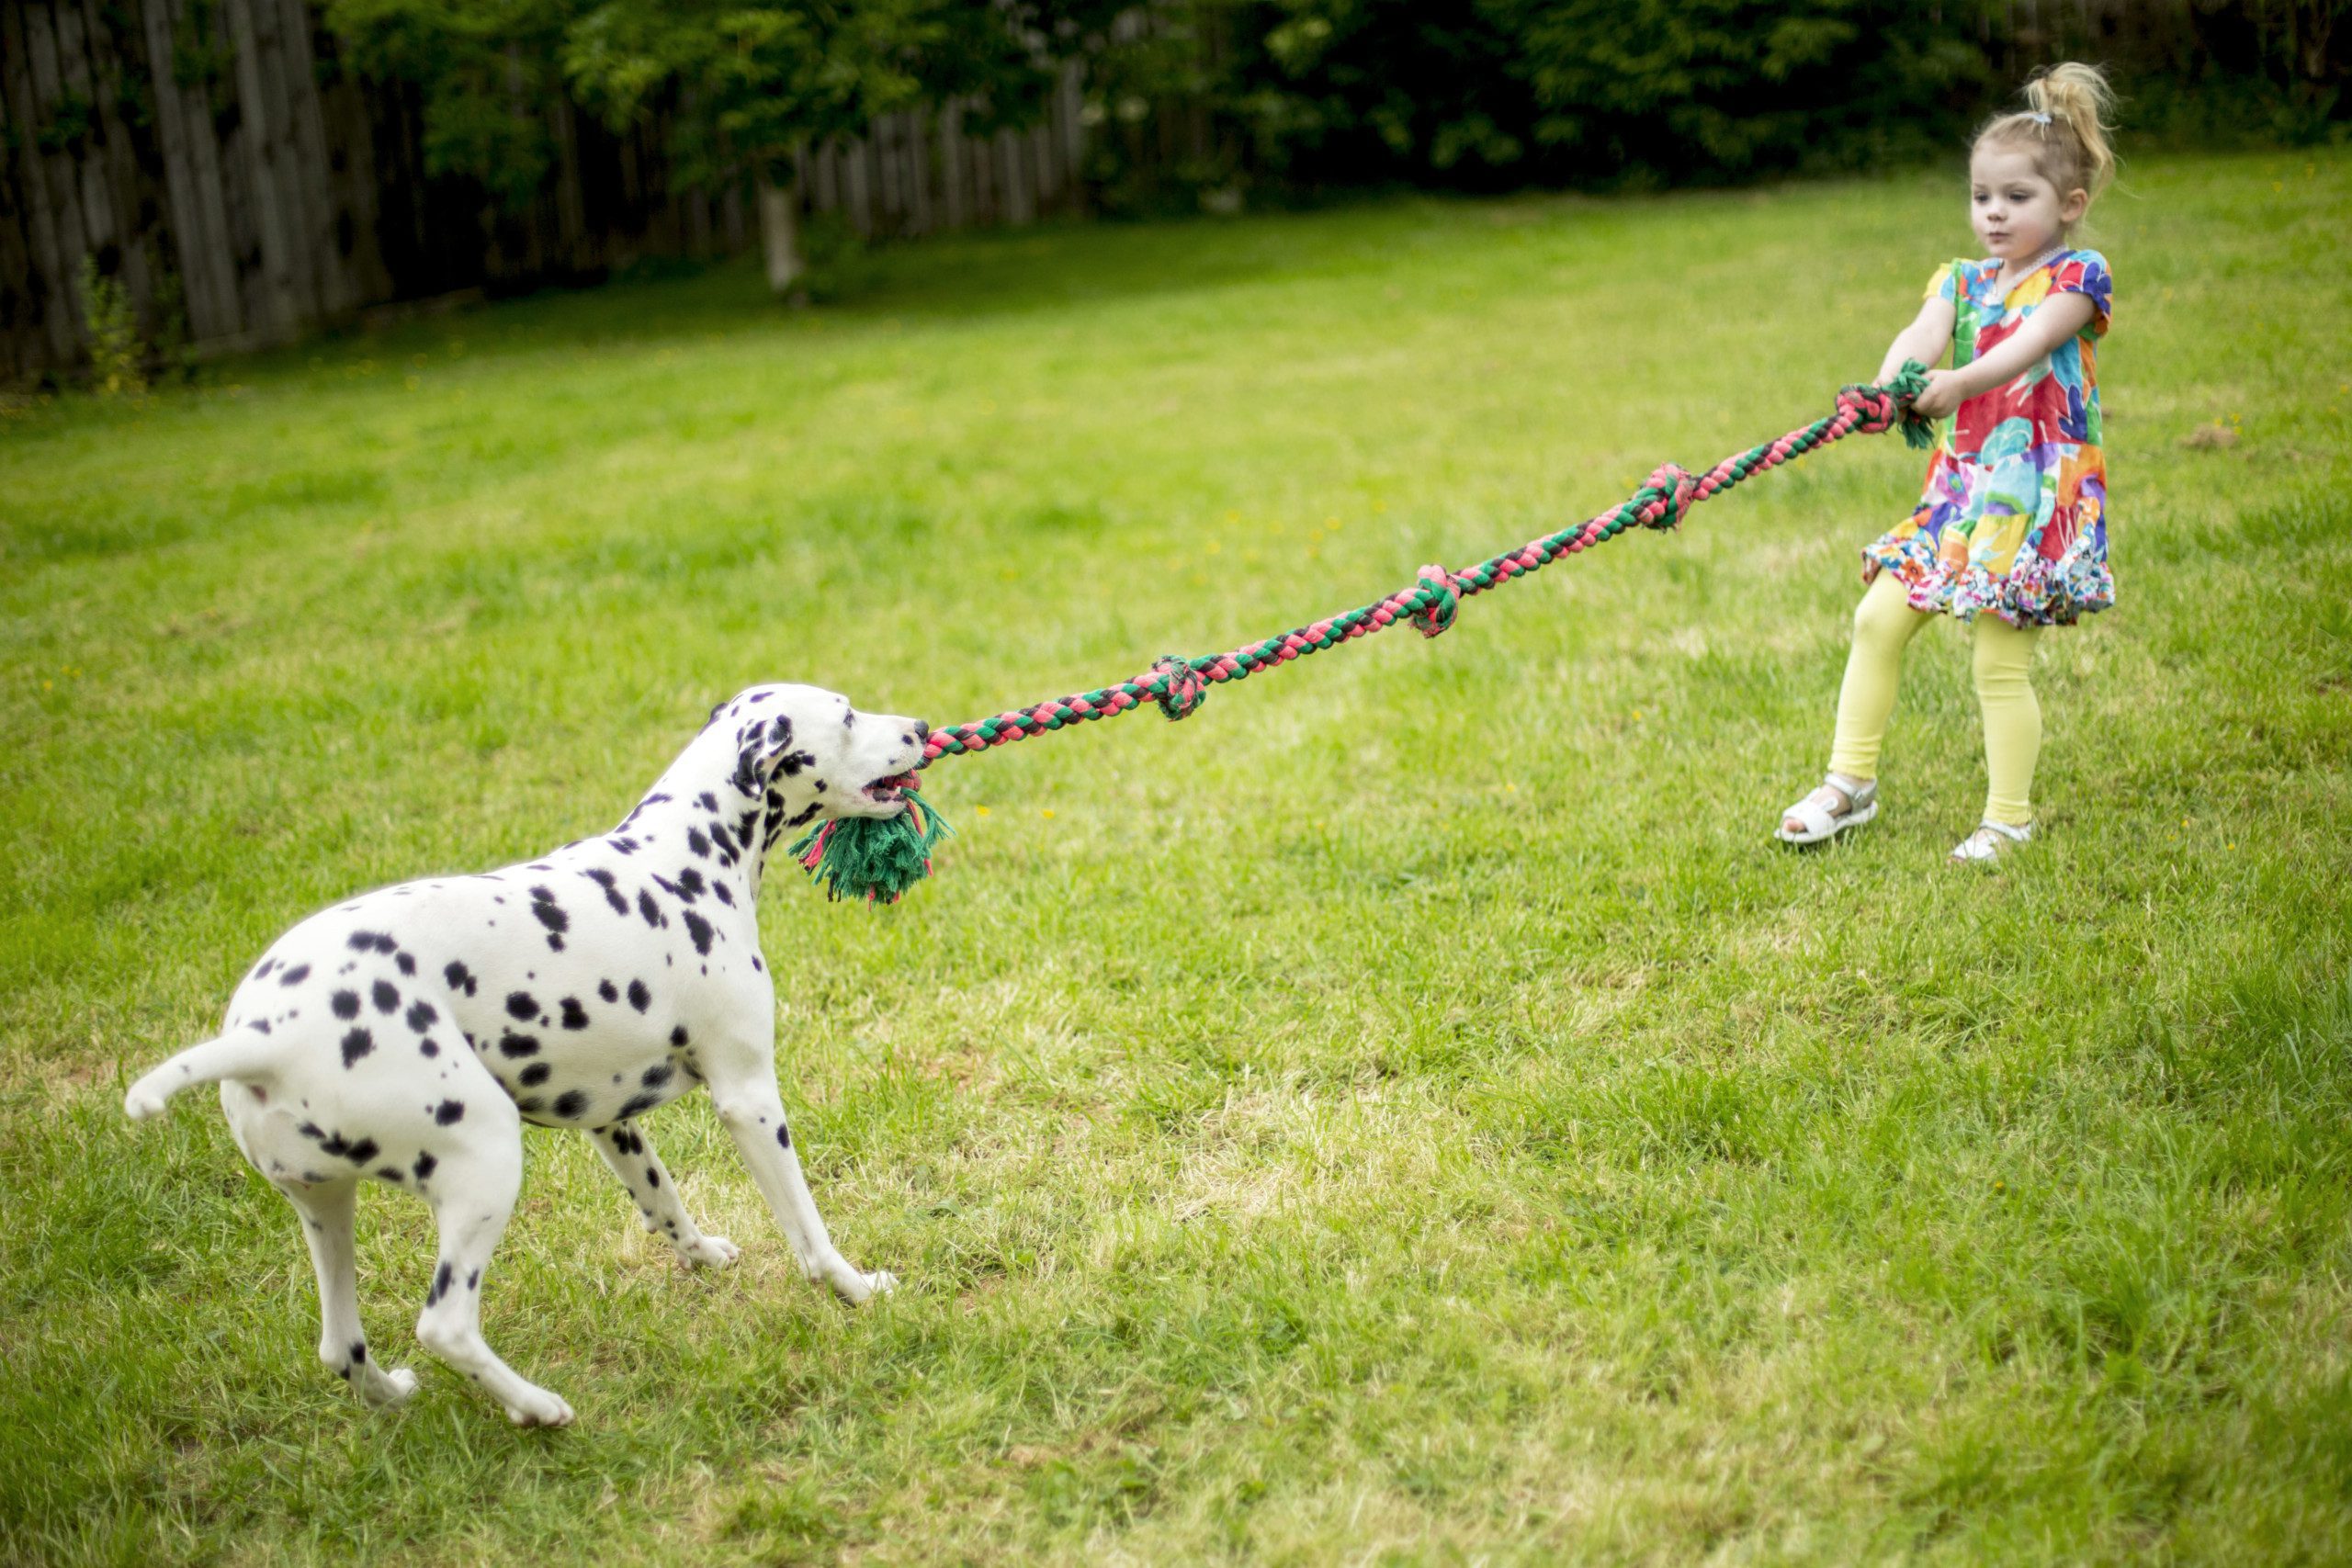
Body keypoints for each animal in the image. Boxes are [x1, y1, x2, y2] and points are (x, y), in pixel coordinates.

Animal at [124, 686, 922, 1419]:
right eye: (847, 715)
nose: (918, 725)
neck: (679, 859)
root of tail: (264, 1035)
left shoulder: (611, 1121)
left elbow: (663, 1202)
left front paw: (703, 1256)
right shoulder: (749, 1099)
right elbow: (809, 1231)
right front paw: (857, 1288)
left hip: (327, 1207)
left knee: (340, 1347)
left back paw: (393, 1394)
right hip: (485, 1160)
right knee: (444, 1325)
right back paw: (536, 1407)